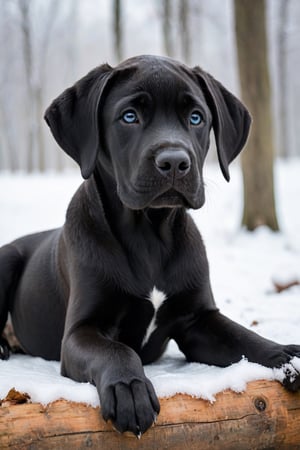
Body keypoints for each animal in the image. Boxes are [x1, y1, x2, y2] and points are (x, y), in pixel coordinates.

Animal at [0, 55, 300, 436]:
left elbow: (245, 338)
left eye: (196, 117)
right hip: (5, 257)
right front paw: (130, 389)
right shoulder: (80, 332)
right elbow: (115, 350)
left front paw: (288, 356)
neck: (150, 235)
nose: (174, 162)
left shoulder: (199, 320)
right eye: (129, 116)